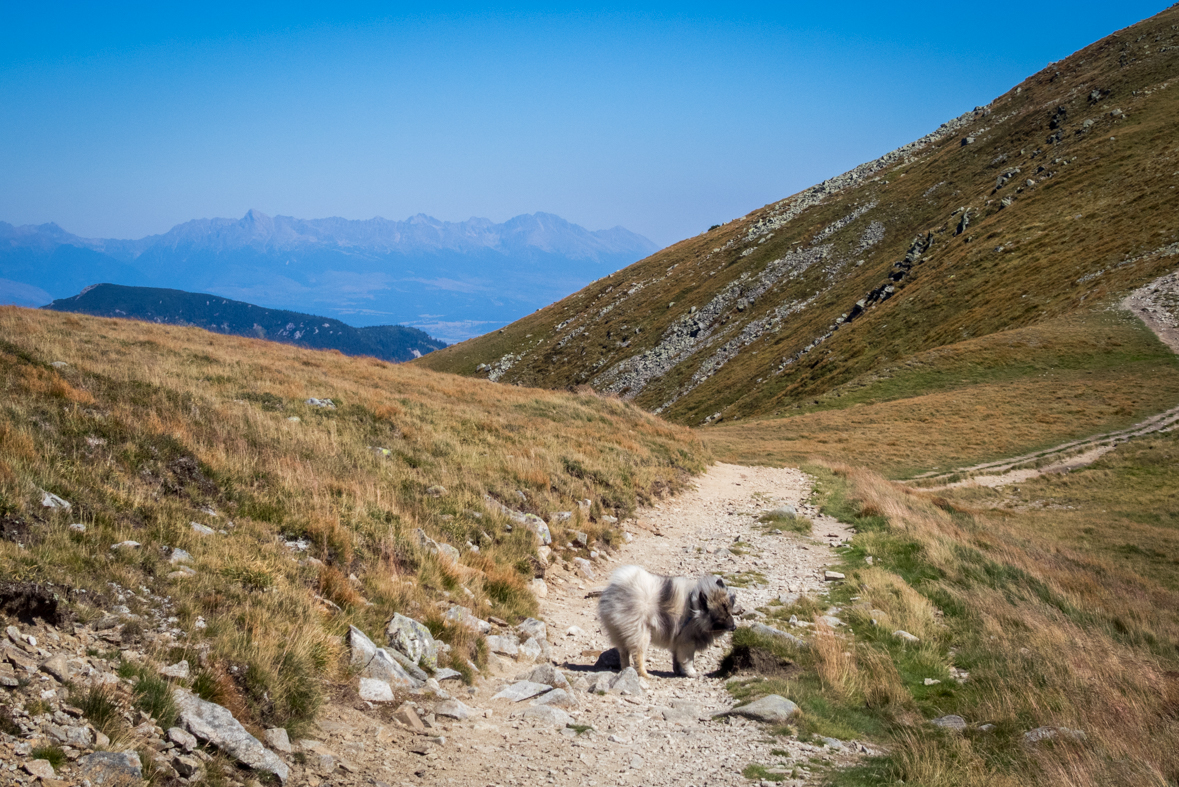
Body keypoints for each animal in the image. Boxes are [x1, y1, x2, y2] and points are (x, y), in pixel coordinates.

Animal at [598, 563, 735, 678]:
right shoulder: (687, 642)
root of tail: (616, 593)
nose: (734, 627)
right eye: (722, 617)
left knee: (623, 653)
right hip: (641, 633)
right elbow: (688, 660)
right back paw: (644, 674)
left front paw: (679, 671)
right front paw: (692, 673)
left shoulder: (678, 641)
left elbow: (677, 659)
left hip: (619, 634)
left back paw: (627, 669)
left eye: (730, 612)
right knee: (638, 655)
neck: (694, 609)